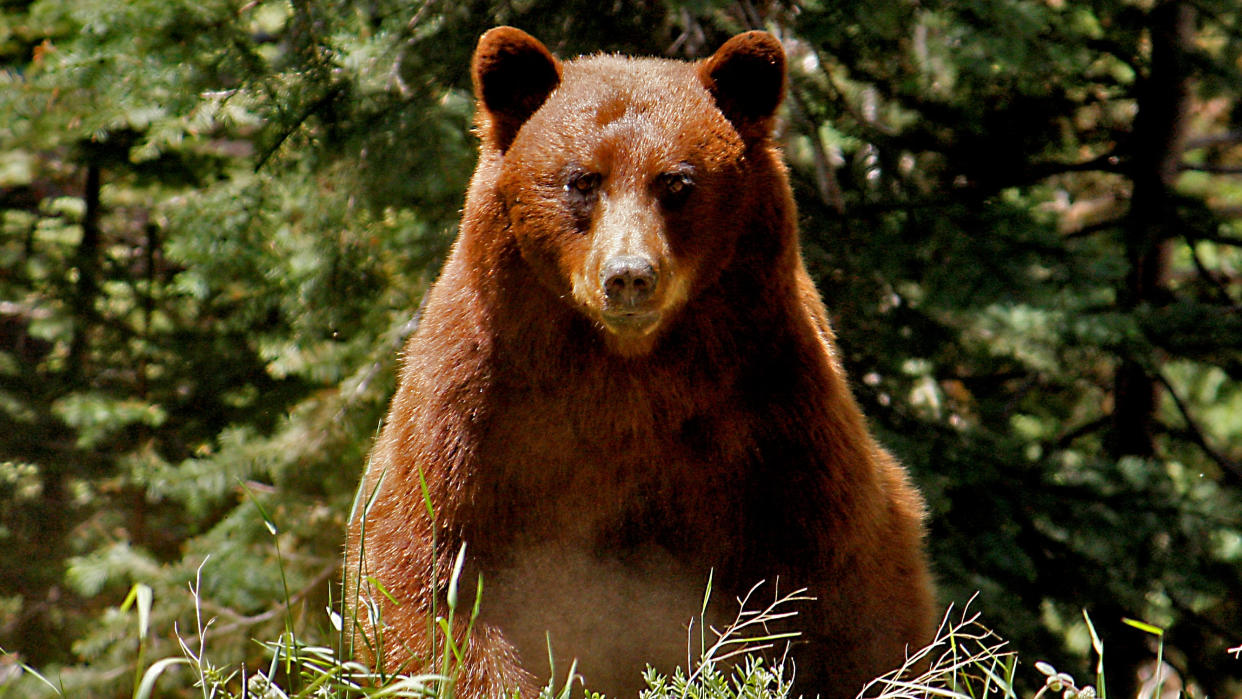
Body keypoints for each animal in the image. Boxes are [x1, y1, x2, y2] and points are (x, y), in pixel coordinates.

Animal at [345, 24, 933, 699]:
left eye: (676, 183)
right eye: (582, 180)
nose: (628, 276)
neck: (627, 371)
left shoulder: (774, 415)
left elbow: (844, 589)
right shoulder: (477, 408)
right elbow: (428, 573)